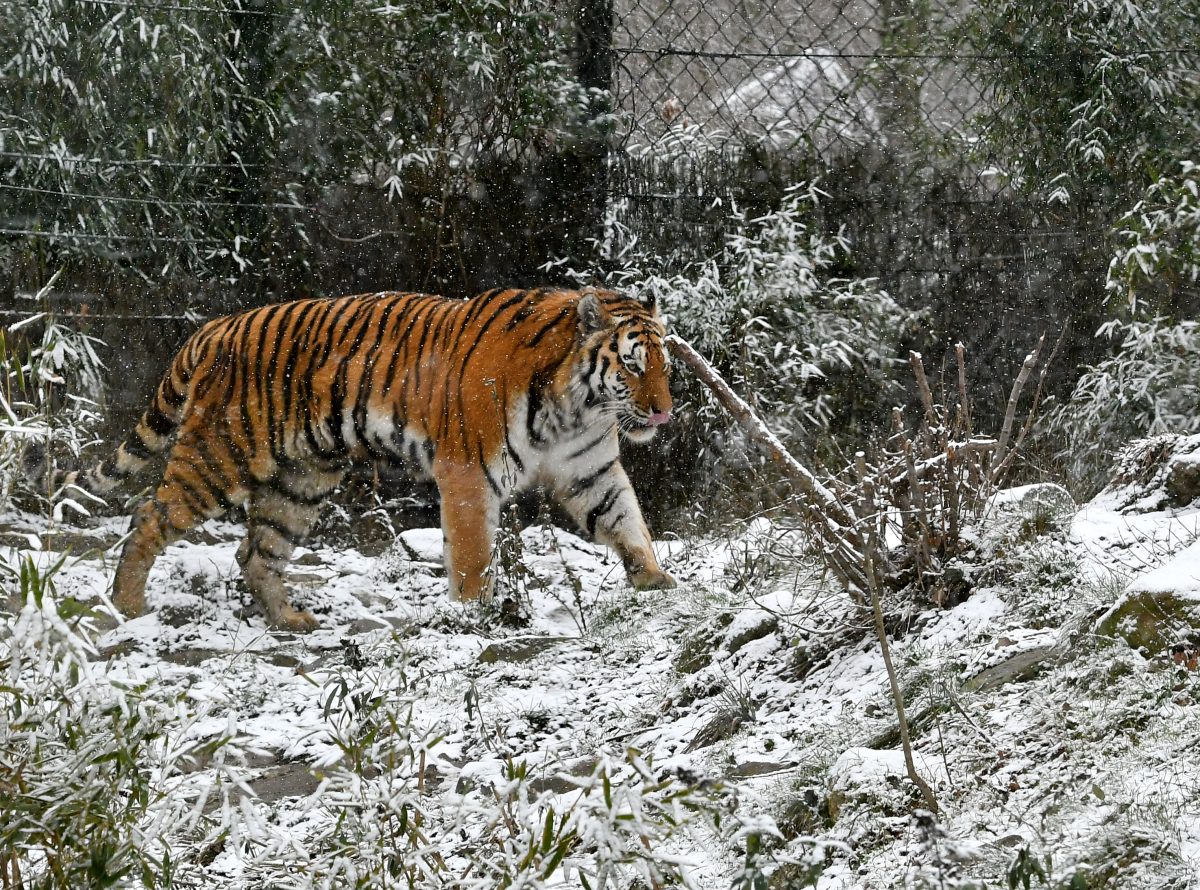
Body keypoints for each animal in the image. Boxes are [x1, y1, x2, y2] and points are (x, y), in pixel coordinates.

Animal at [46, 289, 681, 633]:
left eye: (665, 366)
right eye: (631, 365)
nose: (663, 413)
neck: (576, 407)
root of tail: (214, 327)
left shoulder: (590, 469)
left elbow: (627, 520)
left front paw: (656, 581)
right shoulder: (468, 474)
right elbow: (473, 555)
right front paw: (475, 617)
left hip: (302, 480)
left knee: (256, 550)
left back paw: (290, 619)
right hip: (217, 457)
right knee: (148, 518)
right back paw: (128, 605)